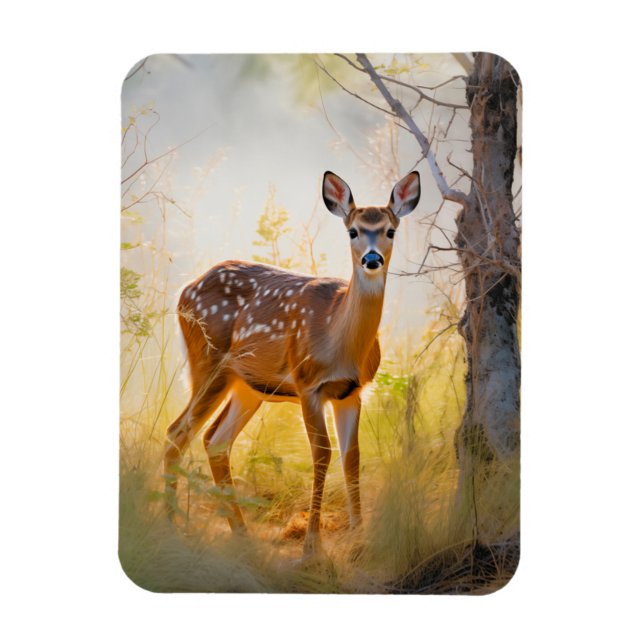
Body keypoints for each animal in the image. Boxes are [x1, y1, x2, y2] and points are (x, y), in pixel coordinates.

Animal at [164, 170, 421, 557]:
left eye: (390, 230)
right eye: (353, 231)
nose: (372, 259)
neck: (338, 339)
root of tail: (184, 291)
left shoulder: (352, 391)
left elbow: (352, 456)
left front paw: (360, 540)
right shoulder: (307, 383)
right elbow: (322, 454)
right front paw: (312, 546)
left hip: (248, 385)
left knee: (215, 440)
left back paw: (241, 535)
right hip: (208, 363)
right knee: (177, 433)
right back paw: (170, 526)